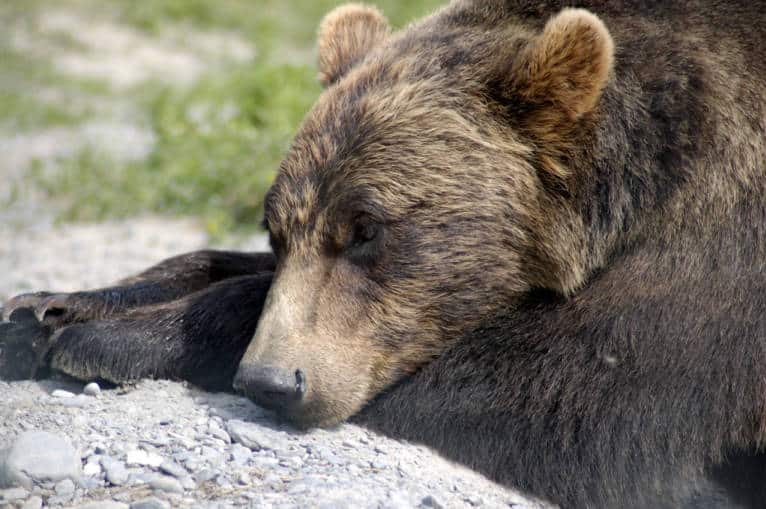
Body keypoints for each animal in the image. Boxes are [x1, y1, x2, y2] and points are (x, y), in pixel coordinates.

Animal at [2, 0, 766, 507]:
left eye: (367, 228)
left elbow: (563, 398)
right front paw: (46, 308)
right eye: (276, 228)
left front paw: (108, 337)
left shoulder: (720, 250)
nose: (273, 380)